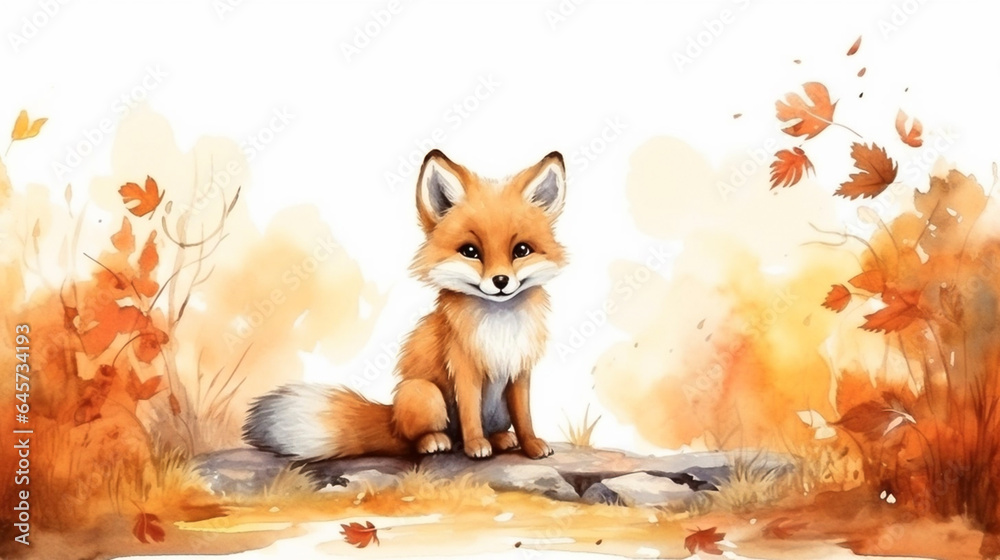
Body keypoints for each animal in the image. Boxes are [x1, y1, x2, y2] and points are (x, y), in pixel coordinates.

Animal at [242, 149, 568, 461]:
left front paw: (532, 446)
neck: (500, 325)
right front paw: (477, 446)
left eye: (521, 250)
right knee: (419, 440)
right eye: (470, 251)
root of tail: (392, 418)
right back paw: (439, 442)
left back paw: (500, 439)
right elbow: (470, 416)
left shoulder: (519, 369)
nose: (500, 281)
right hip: (426, 394)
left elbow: (524, 417)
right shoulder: (463, 367)